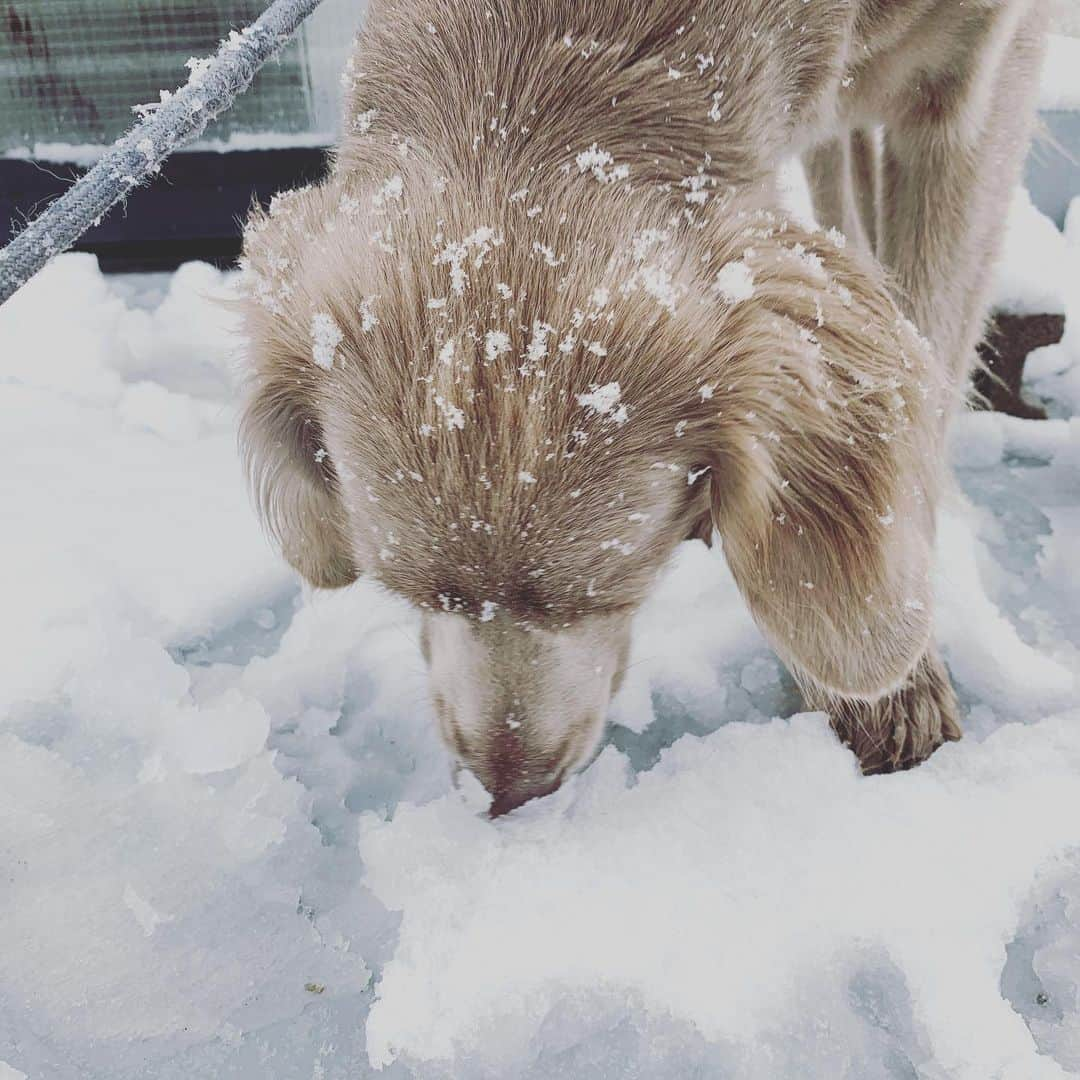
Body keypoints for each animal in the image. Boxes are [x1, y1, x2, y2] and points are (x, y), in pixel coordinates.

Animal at [234, 0, 1045, 812]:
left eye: (610, 594)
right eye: (417, 592)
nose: (509, 790)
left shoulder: (978, 79)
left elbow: (930, 349)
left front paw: (890, 687)